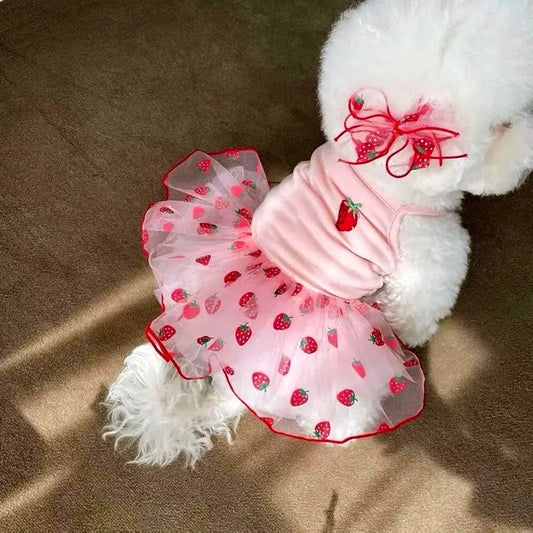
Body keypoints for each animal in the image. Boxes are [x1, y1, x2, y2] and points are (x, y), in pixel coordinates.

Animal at [102, 0, 528, 466]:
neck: (380, 172)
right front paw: (415, 337)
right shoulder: (428, 263)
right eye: (504, 125)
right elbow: (417, 309)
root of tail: (228, 381)